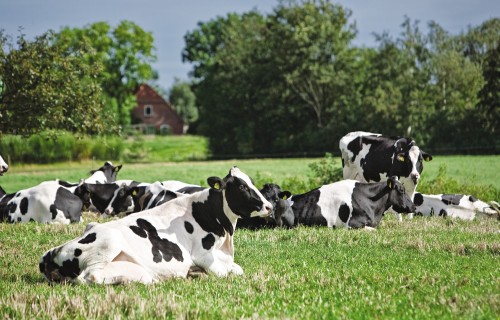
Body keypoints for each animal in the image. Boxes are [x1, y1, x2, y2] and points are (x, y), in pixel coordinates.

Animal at [39, 166, 274, 284]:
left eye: (253, 182)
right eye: (242, 187)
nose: (269, 206)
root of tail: (51, 253)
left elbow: (238, 269)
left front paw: (195, 273)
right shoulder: (204, 256)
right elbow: (225, 273)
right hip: (109, 242)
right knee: (89, 277)